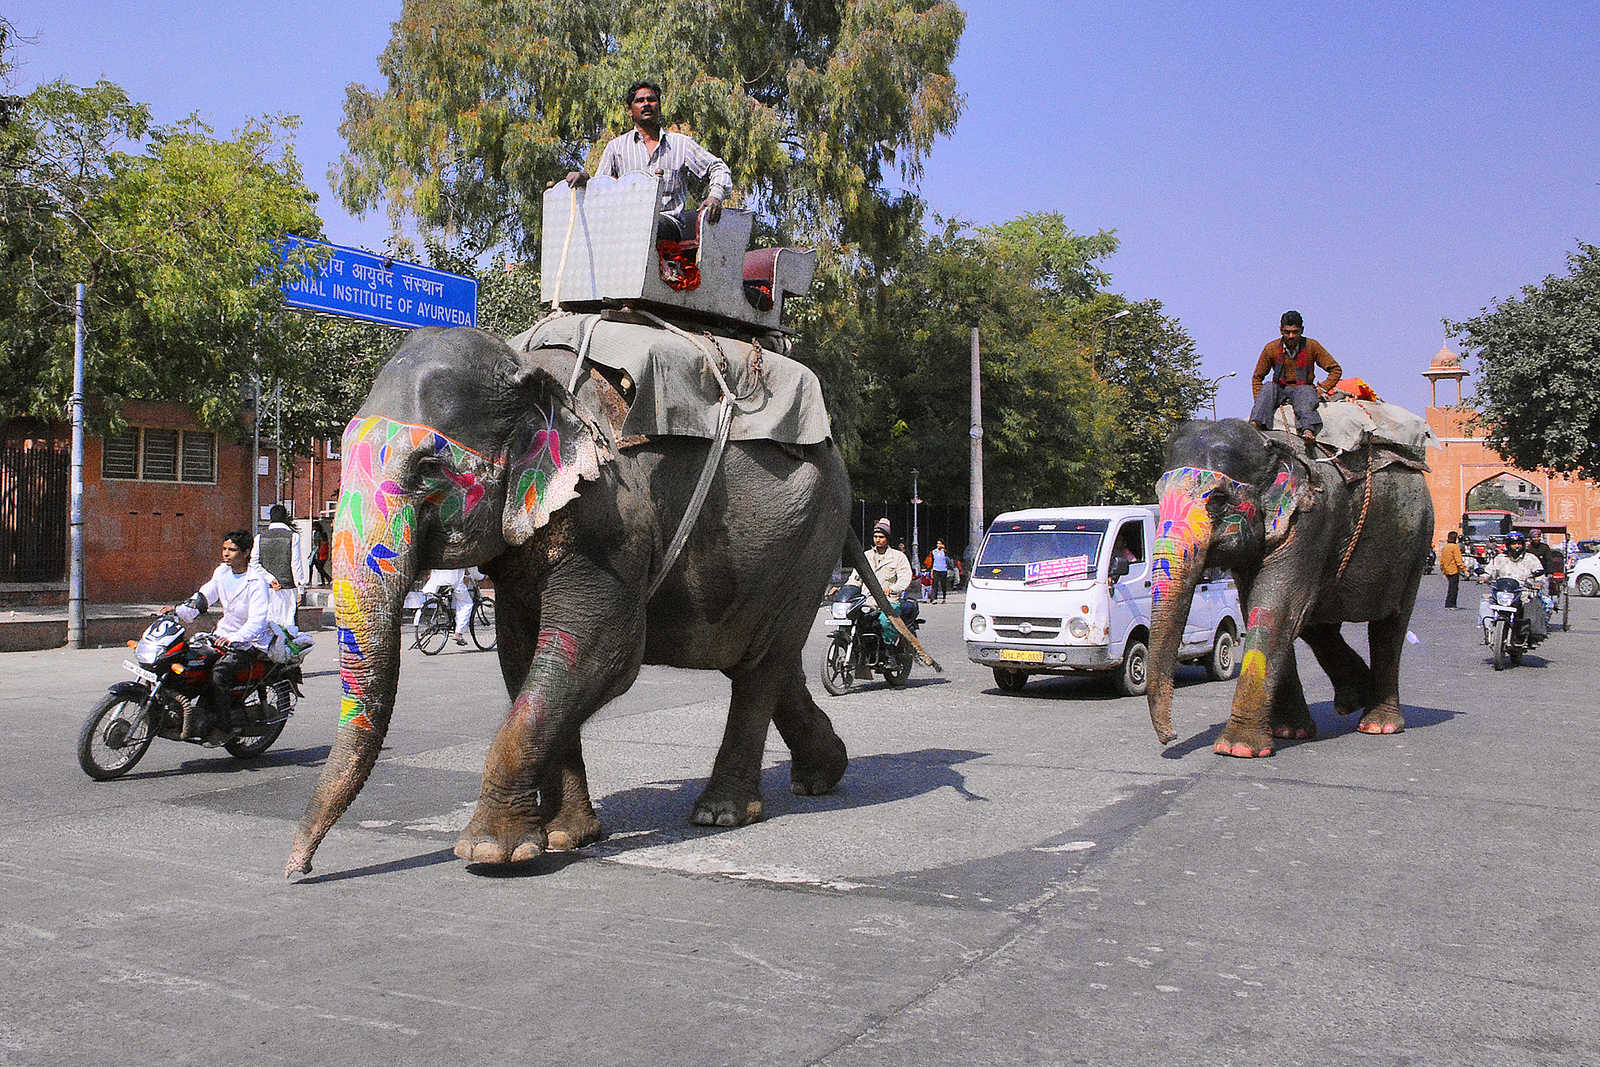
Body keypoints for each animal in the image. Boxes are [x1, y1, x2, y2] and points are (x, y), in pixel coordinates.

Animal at [286, 325, 853, 875]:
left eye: (428, 468)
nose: (299, 869)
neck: (527, 369)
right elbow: (521, 657)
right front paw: (565, 836)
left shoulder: (610, 520)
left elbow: (600, 655)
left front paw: (491, 852)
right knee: (767, 660)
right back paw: (822, 774)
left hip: (814, 540)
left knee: (761, 667)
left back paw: (721, 813)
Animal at [1145, 418, 1433, 757]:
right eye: (1157, 495)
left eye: (1217, 499)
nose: (1170, 737)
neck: (1269, 444)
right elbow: (1263, 608)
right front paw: (1288, 732)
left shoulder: (1310, 521)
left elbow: (1273, 609)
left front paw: (1237, 748)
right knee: (1316, 624)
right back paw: (1354, 698)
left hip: (1416, 544)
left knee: (1390, 627)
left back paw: (1379, 724)